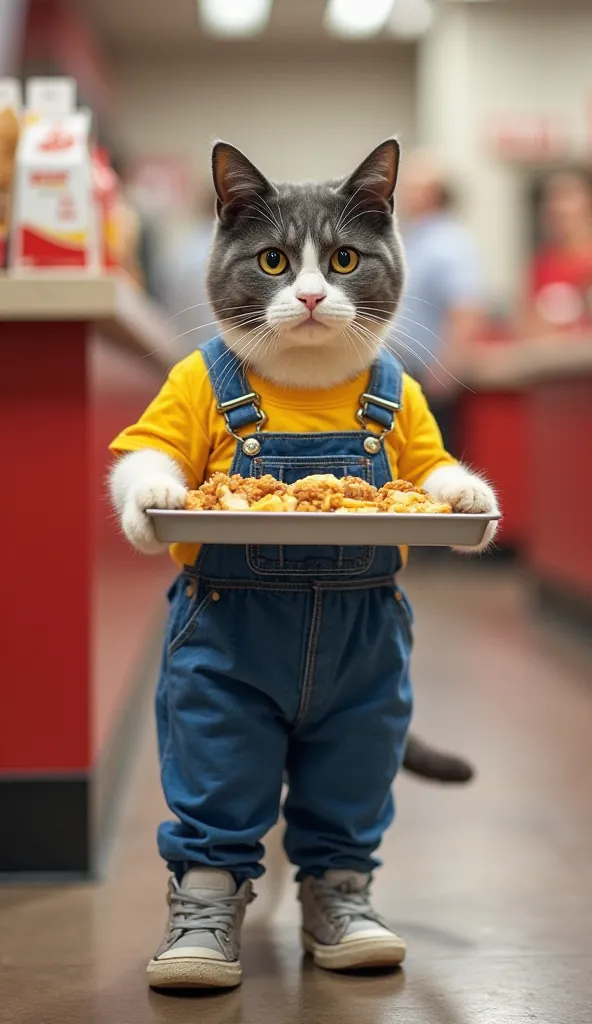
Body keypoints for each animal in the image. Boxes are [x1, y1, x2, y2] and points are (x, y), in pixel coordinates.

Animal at [108, 138, 495, 782]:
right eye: (272, 261)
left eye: (344, 259)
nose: (311, 296)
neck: (308, 381)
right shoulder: (181, 389)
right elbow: (143, 457)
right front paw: (153, 499)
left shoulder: (413, 406)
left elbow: (431, 469)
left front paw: (468, 494)